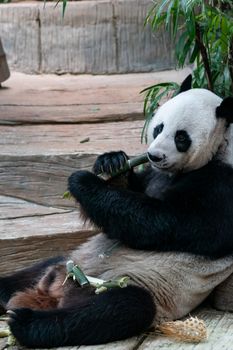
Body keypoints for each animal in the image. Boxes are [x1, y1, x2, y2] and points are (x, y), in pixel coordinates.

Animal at [0, 76, 233, 348]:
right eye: (159, 128)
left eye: (181, 137)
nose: (154, 155)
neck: (220, 148)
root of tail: (53, 292)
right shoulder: (152, 175)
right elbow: (132, 194)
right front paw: (111, 162)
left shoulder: (221, 187)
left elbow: (167, 222)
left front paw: (83, 182)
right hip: (68, 260)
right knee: (32, 271)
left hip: (129, 286)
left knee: (115, 309)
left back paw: (24, 322)